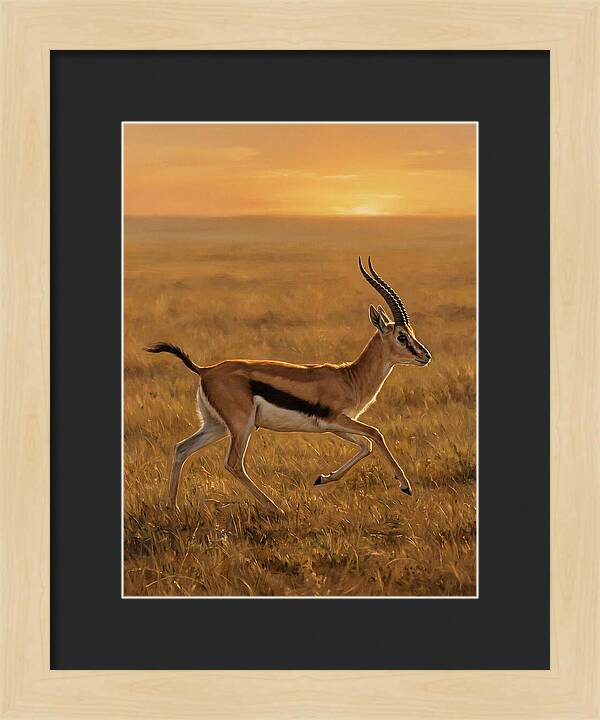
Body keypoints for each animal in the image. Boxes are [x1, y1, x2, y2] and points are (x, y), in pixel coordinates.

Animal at [146, 257, 431, 513]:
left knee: (181, 449)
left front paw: (322, 478)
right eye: (401, 336)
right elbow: (375, 434)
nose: (425, 355)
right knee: (233, 463)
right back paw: (275, 508)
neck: (350, 377)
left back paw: (172, 507)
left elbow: (366, 445)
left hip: (216, 426)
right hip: (241, 425)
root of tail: (206, 370)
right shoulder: (337, 419)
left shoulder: (334, 426)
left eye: (412, 333)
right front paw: (405, 486)